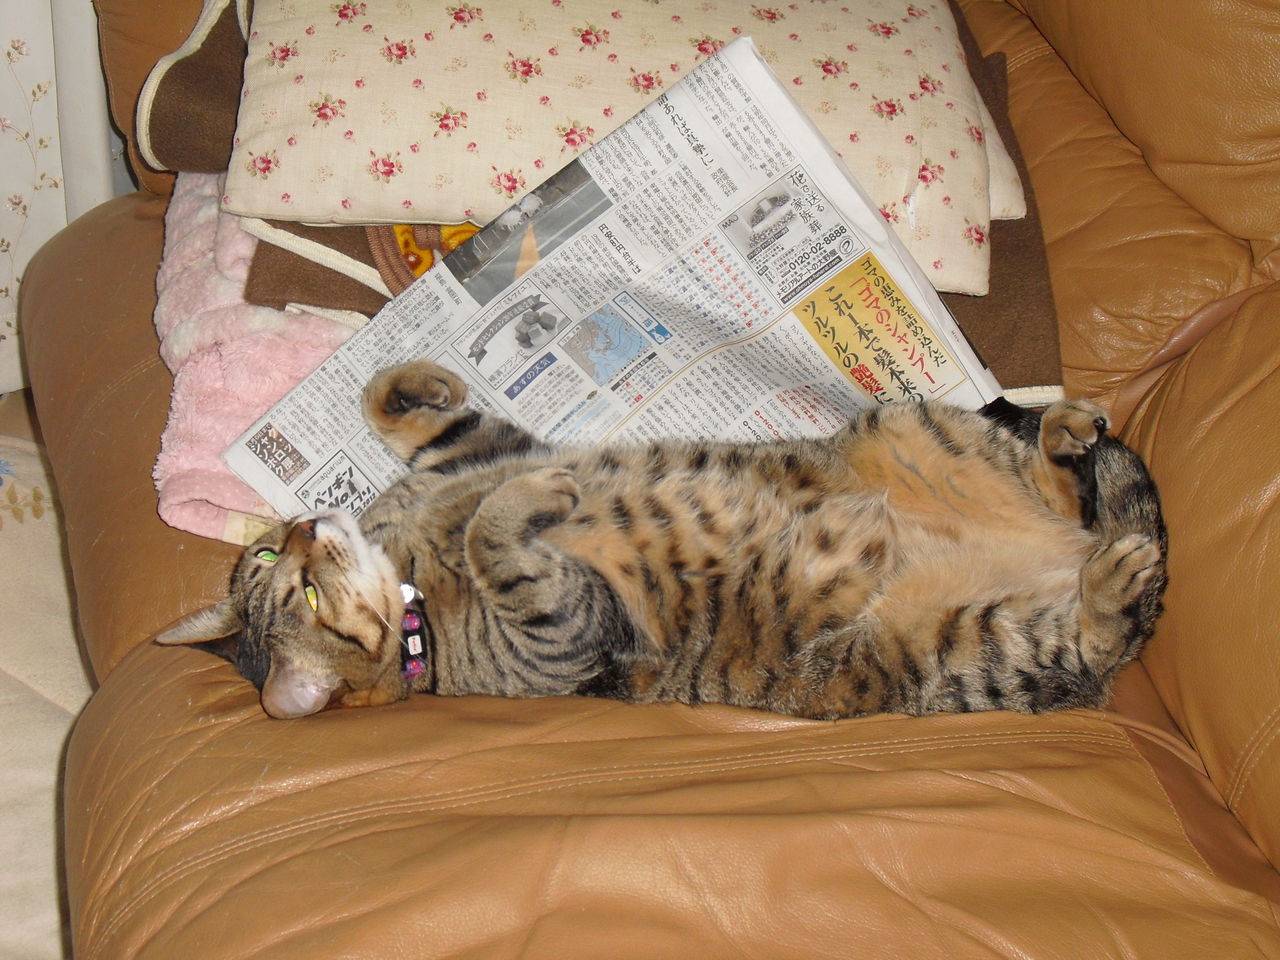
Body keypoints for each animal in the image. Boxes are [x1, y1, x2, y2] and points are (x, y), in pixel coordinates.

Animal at [158, 358, 1167, 721]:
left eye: (268, 562)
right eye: (298, 591)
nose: (299, 525)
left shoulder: (477, 451)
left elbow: (414, 419)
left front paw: (418, 380)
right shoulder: (564, 635)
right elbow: (496, 536)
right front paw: (539, 496)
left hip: (909, 425)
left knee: (1063, 494)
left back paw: (1066, 436)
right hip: (980, 648)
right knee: (1102, 627)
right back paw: (1112, 579)